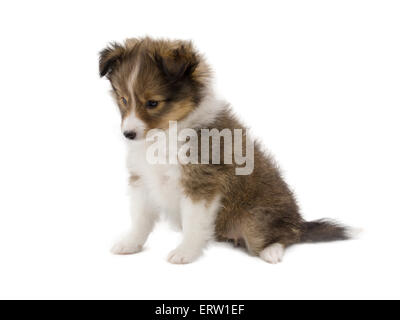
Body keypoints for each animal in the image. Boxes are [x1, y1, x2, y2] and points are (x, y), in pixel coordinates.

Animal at [100, 37, 354, 264]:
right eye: (123, 99)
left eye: (153, 103)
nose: (128, 134)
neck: (166, 134)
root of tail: (300, 221)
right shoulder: (142, 178)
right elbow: (140, 218)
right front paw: (130, 244)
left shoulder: (201, 183)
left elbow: (193, 223)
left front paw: (185, 252)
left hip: (256, 220)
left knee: (287, 235)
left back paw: (271, 251)